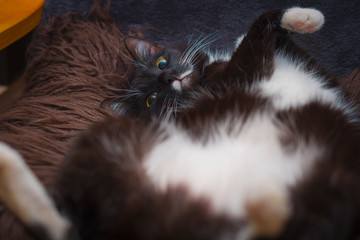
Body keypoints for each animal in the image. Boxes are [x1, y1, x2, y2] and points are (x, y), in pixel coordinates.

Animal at [50, 6, 360, 240]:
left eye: (161, 63)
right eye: (151, 99)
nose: (168, 78)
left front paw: (302, 21)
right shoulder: (237, 76)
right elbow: (253, 34)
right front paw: (303, 16)